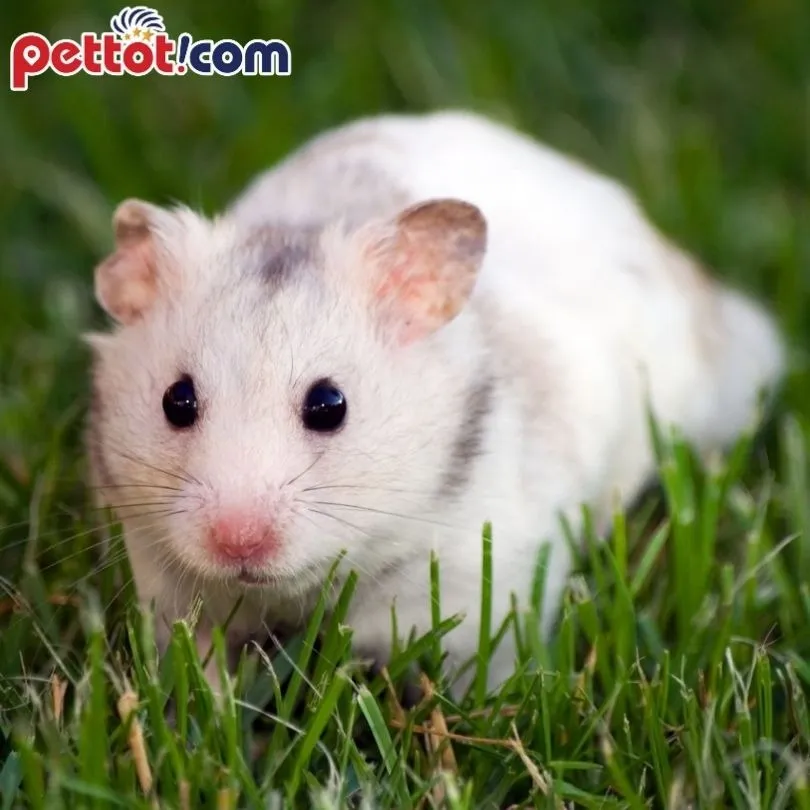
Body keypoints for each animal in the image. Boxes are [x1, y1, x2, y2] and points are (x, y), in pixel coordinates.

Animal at [85, 110, 785, 698]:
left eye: (329, 405)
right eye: (177, 401)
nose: (237, 543)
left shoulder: (481, 577)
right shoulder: (166, 579)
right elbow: (198, 662)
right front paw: (201, 704)